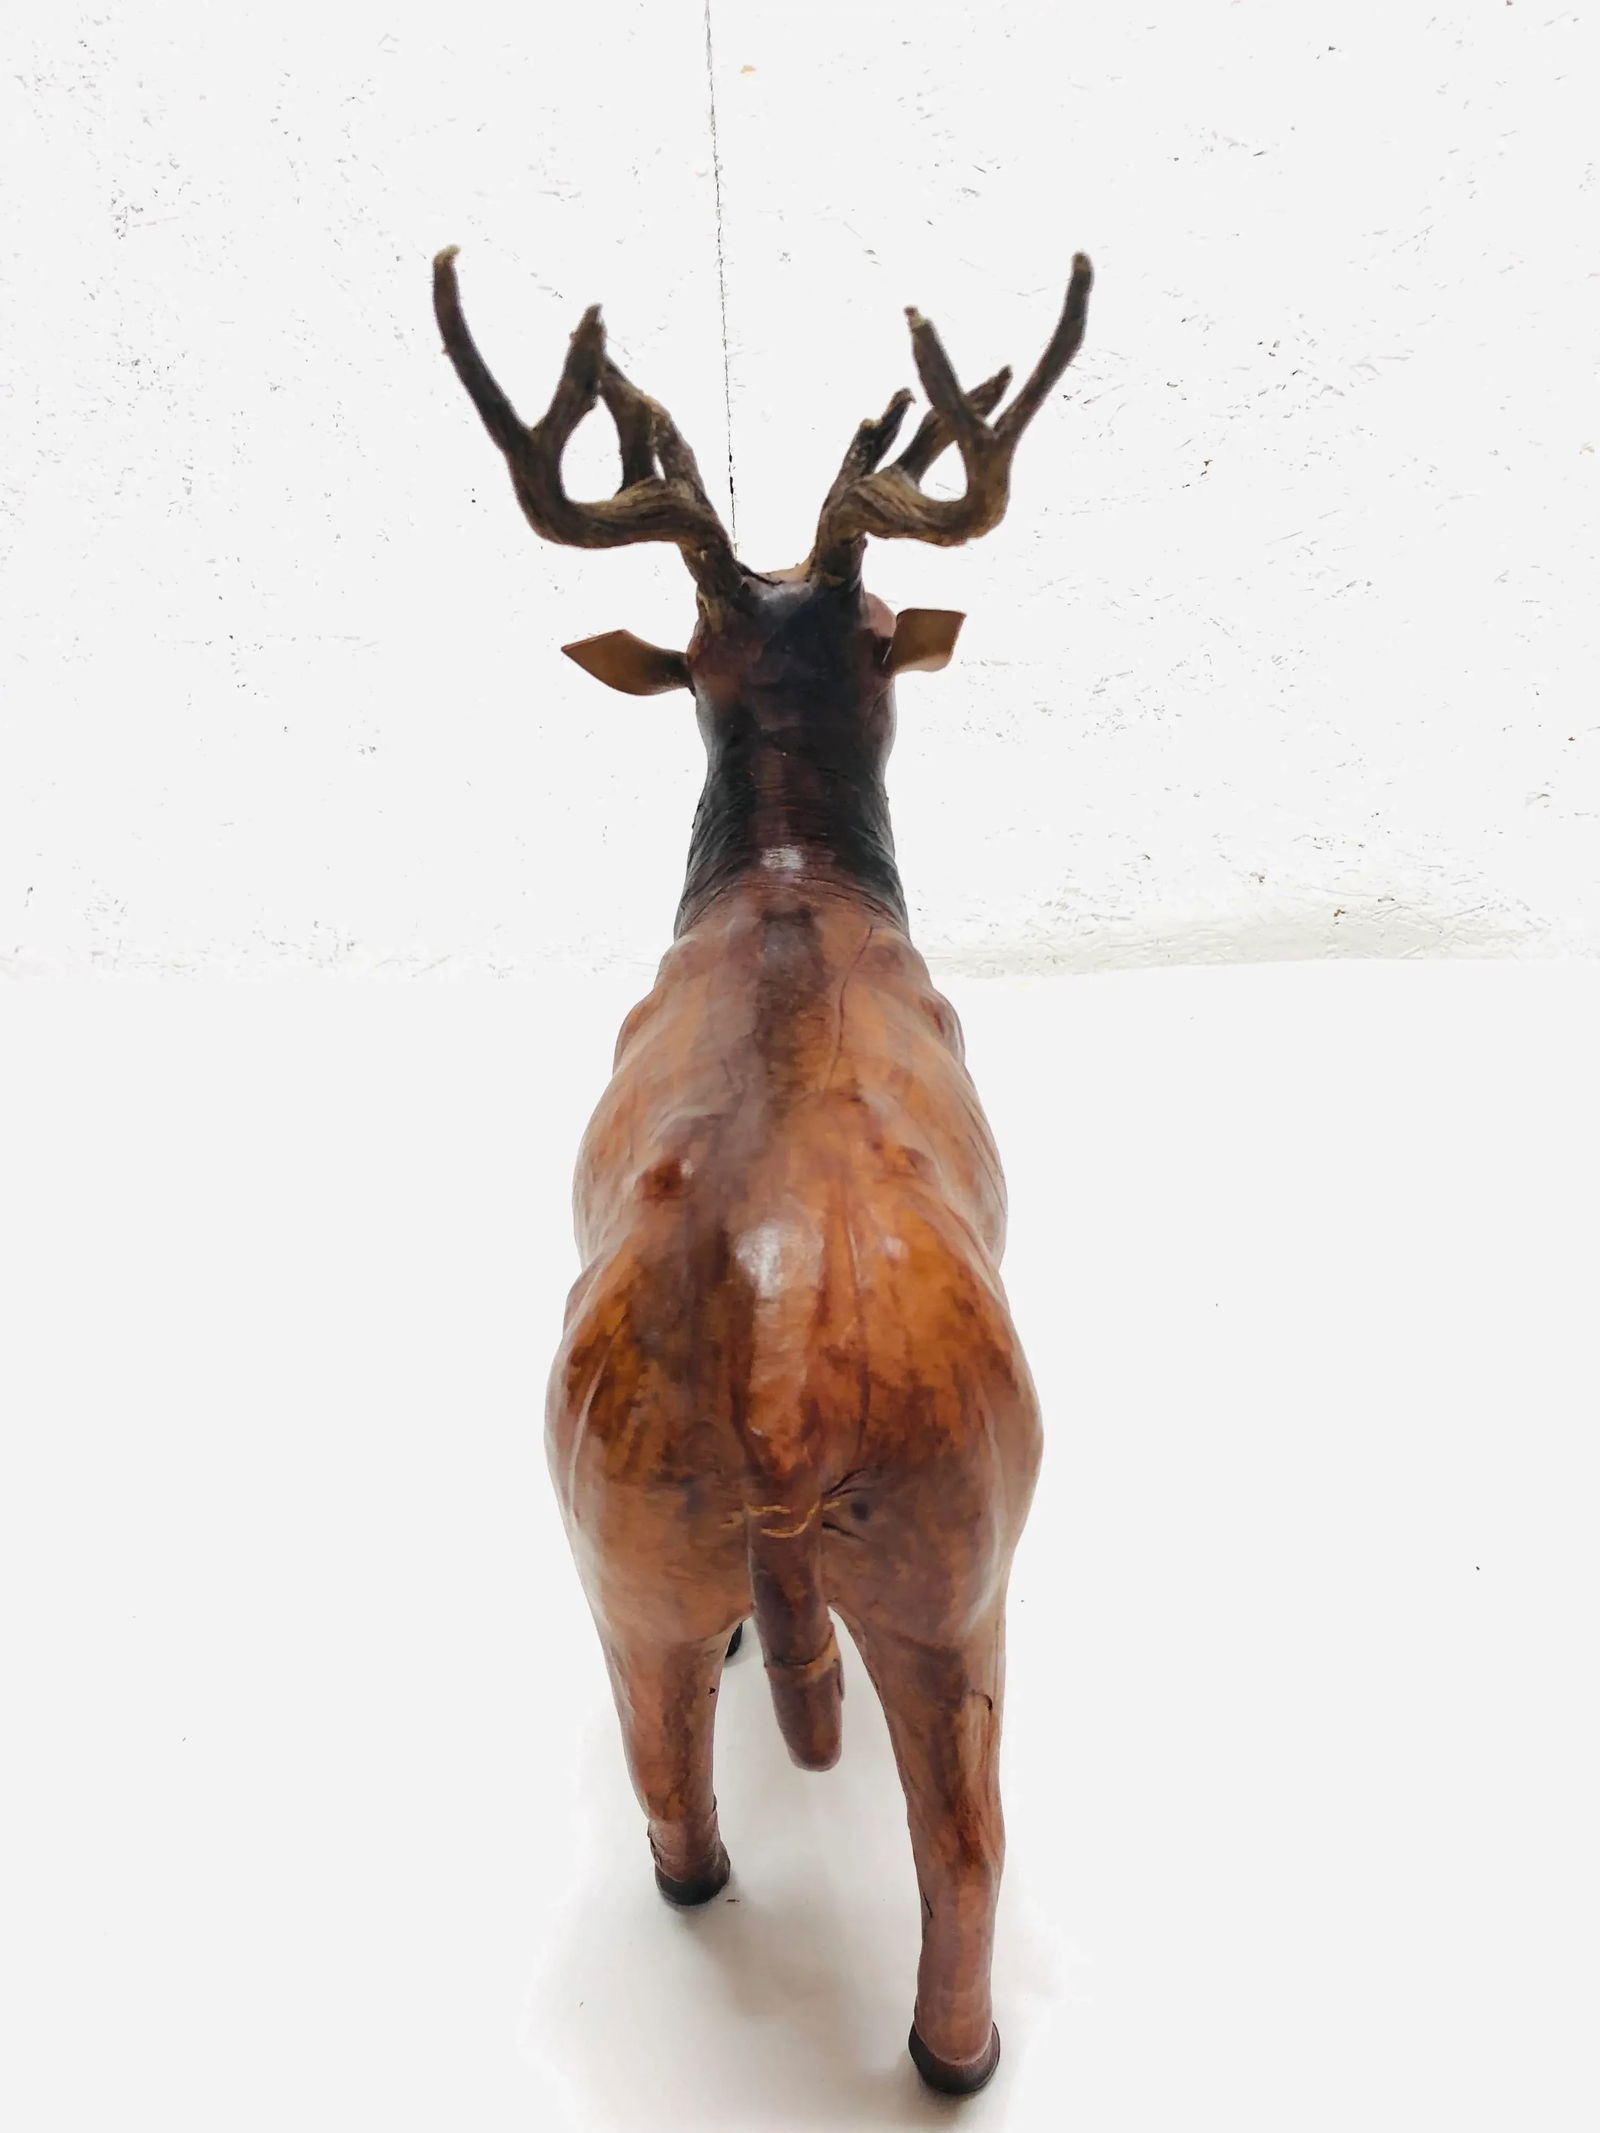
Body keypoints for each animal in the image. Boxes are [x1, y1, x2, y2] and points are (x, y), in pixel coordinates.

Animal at [432, 243, 1092, 2096]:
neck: (791, 879)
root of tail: (787, 1379)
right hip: (962, 1548)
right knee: (963, 1844)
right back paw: (959, 2056)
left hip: (621, 1531)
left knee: (669, 1753)